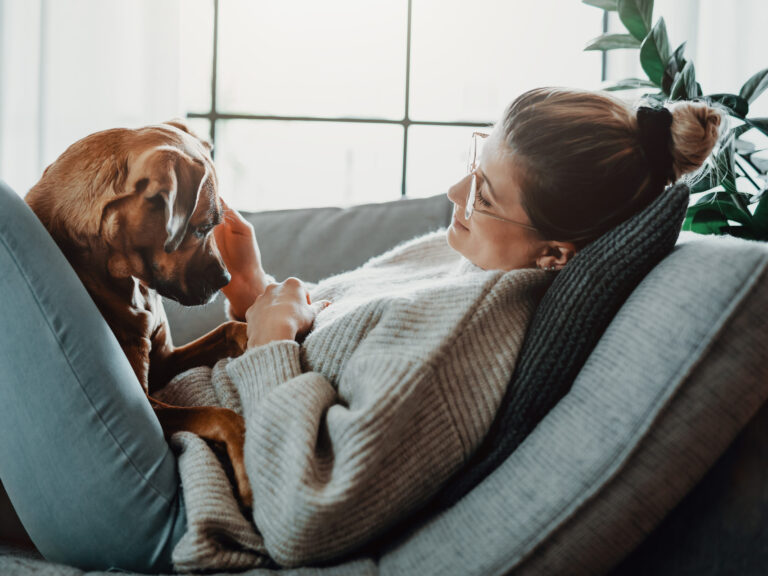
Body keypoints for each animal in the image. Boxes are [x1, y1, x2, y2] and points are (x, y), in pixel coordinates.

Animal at [26, 119, 252, 506]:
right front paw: (246, 463)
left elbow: (227, 330)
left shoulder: (163, 361)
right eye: (203, 228)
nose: (225, 279)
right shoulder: (149, 405)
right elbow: (220, 416)